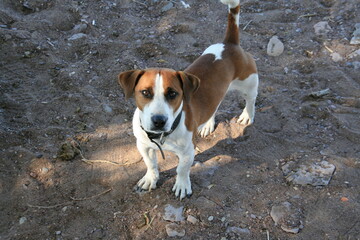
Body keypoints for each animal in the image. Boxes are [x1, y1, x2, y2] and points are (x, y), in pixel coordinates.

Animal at [119, 0, 258, 199]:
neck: (162, 137)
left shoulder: (187, 152)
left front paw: (182, 185)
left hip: (249, 82)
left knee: (251, 100)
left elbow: (182, 170)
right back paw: (207, 124)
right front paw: (150, 178)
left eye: (172, 94)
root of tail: (229, 43)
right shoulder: (143, 146)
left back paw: (247, 115)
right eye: (145, 92)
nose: (159, 121)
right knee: (214, 105)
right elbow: (151, 164)